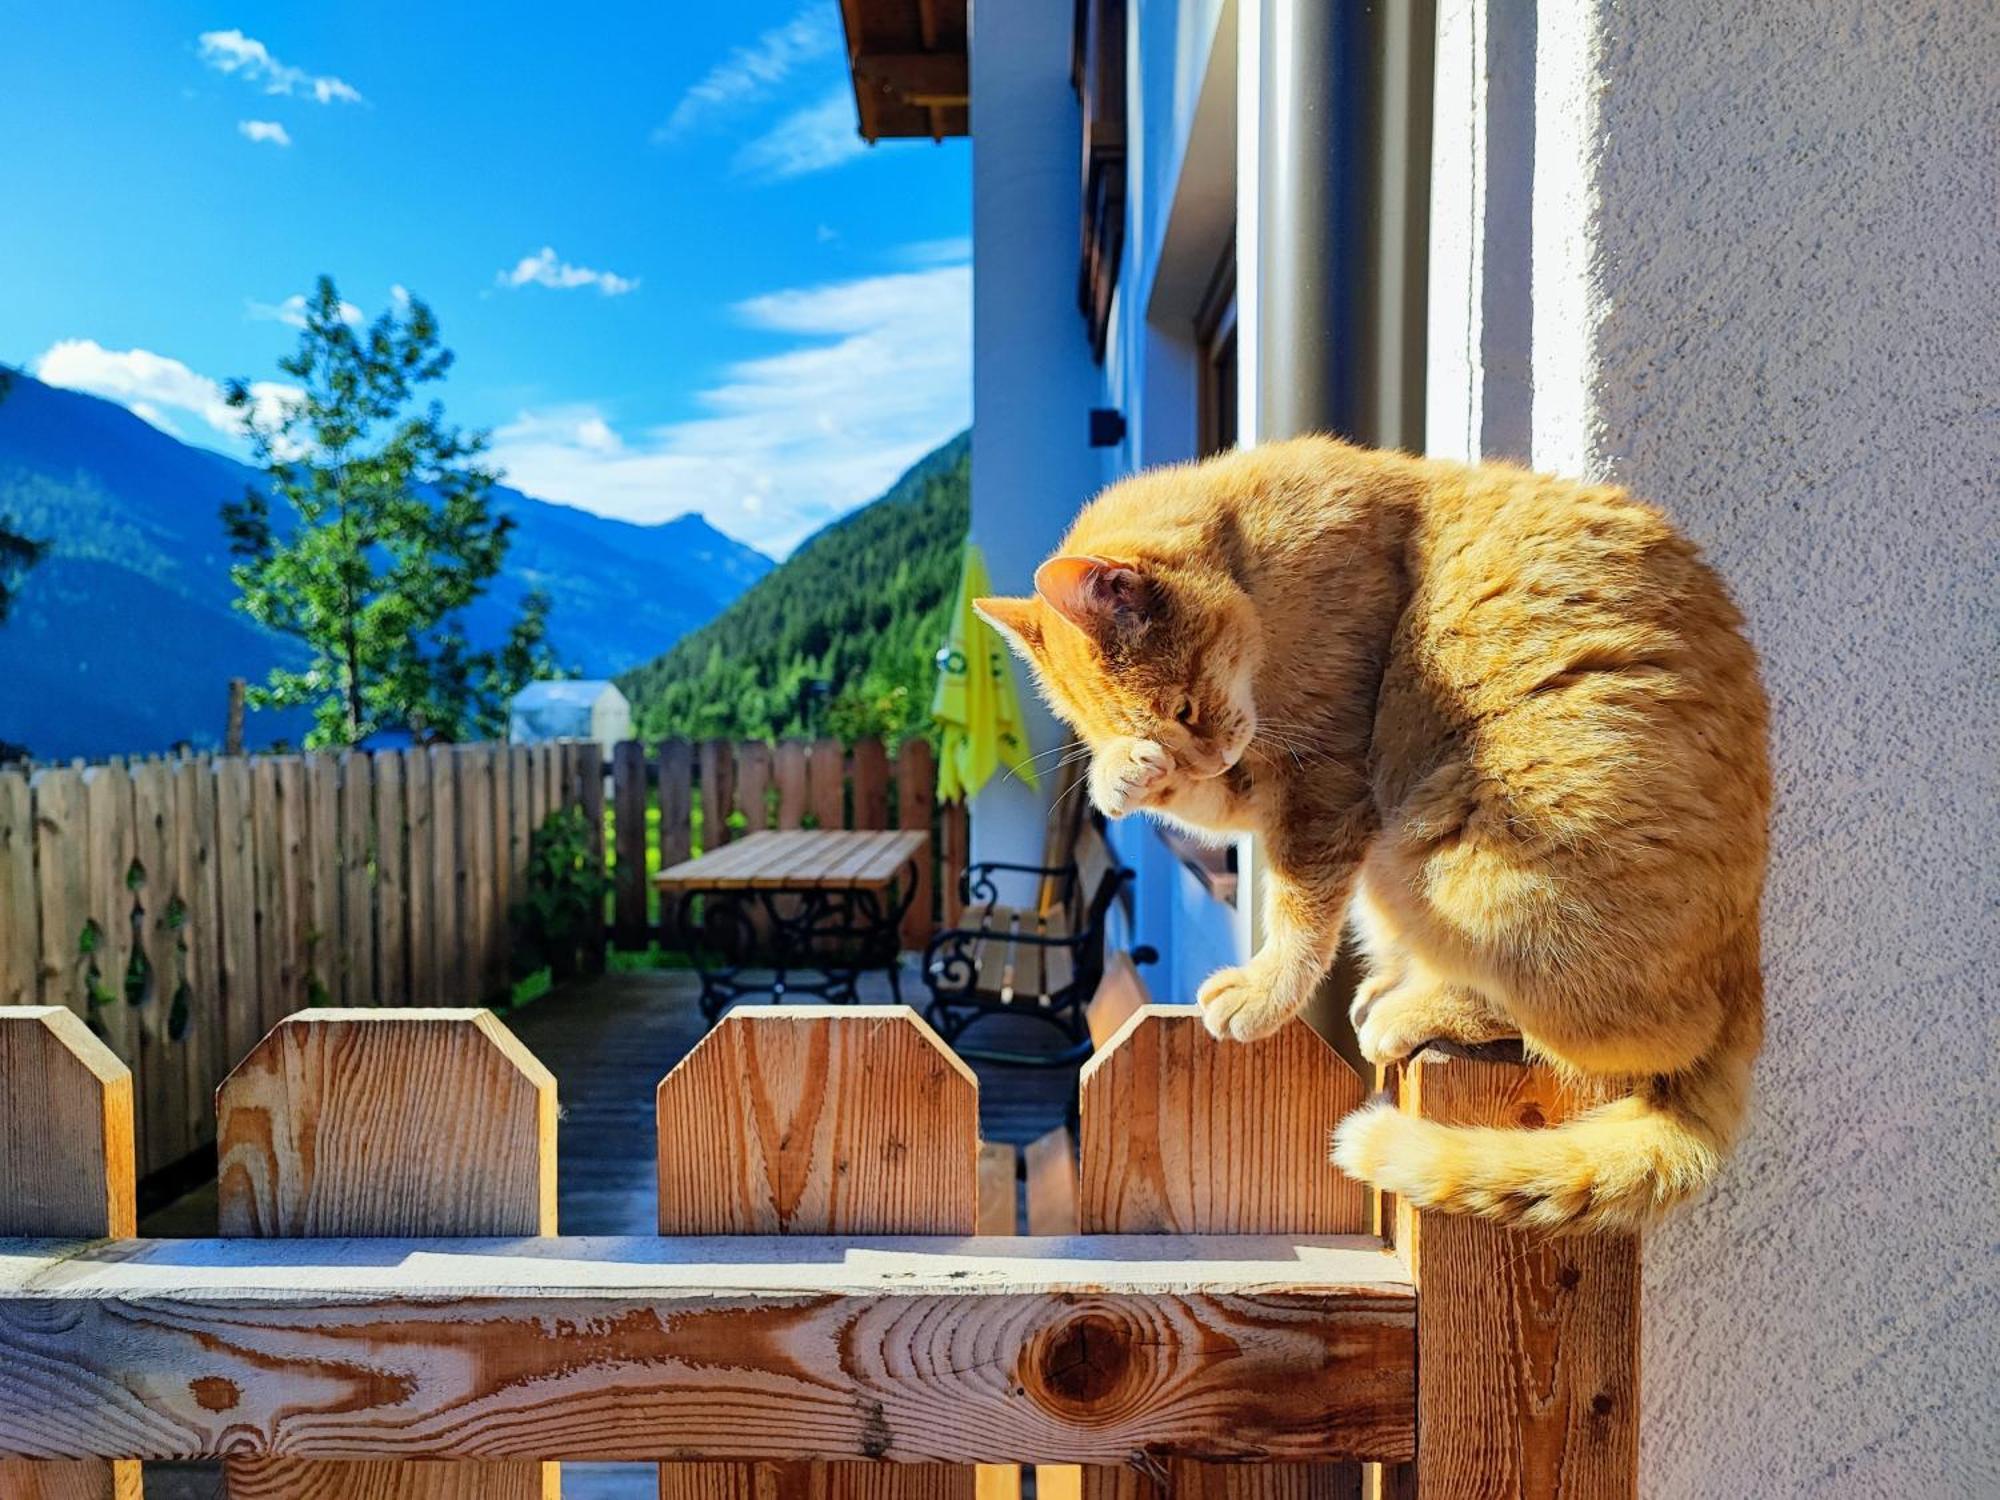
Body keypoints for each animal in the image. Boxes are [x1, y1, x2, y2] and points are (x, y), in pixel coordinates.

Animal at [976, 434, 1776, 1232]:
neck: (1253, 551)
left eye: (1183, 709)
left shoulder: (1321, 783)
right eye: (1157, 731)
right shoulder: (1259, 778)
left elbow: (1298, 911)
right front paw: (1123, 774)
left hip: (1453, 863)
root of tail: (1742, 966)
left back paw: (1415, 1007)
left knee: (1610, 1038)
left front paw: (1263, 992)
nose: (1199, 755)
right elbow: (1199, 801)